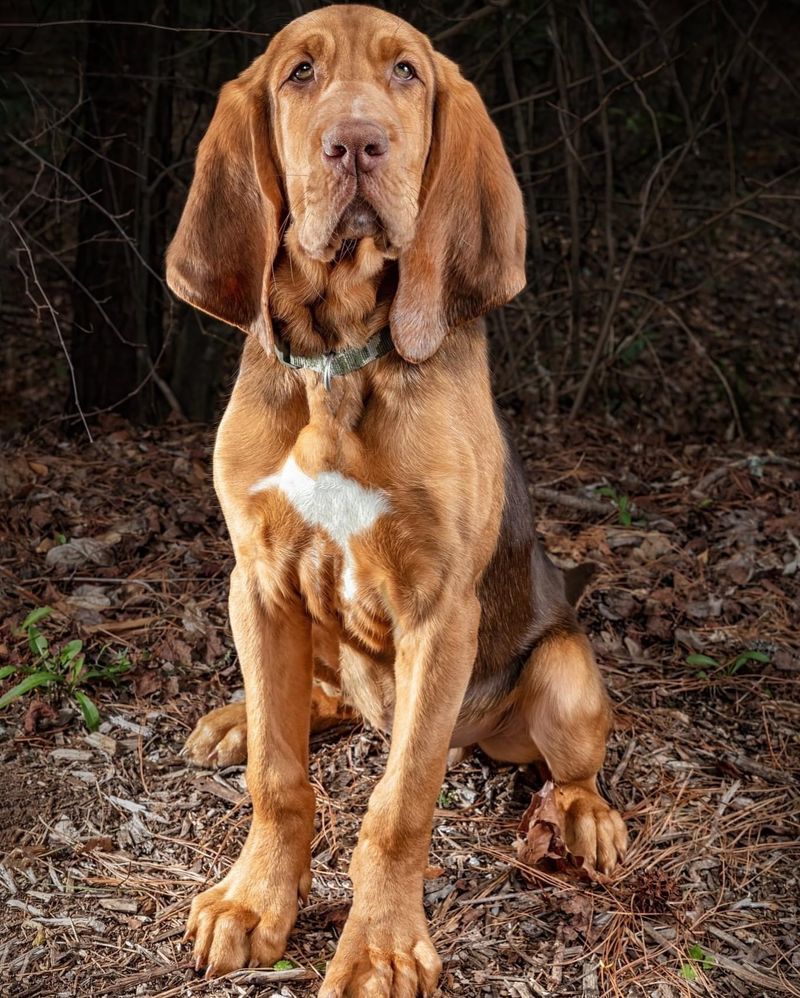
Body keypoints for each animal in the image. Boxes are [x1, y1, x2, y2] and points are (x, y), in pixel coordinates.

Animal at [166, 5, 628, 992]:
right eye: (299, 73)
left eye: (407, 73)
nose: (356, 144)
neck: (340, 364)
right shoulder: (258, 583)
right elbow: (279, 777)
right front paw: (254, 901)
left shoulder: (438, 612)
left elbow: (401, 804)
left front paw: (379, 945)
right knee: (321, 704)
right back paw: (234, 721)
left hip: (562, 675)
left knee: (564, 763)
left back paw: (584, 816)